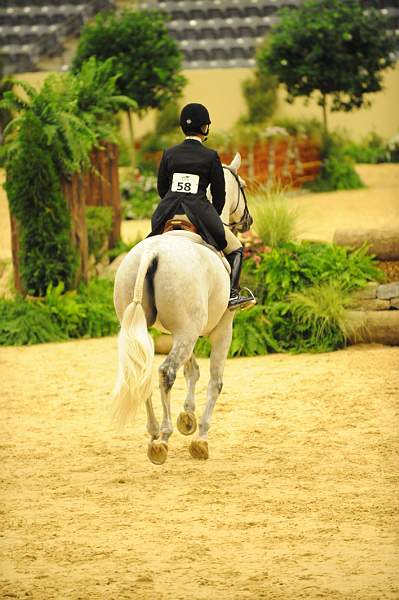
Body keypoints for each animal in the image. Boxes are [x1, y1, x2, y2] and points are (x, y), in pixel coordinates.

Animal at [111, 152, 252, 466]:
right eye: (244, 186)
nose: (248, 221)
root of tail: (152, 253)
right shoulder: (221, 329)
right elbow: (214, 381)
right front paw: (200, 438)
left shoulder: (184, 331)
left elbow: (193, 371)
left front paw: (187, 418)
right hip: (188, 332)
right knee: (166, 373)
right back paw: (162, 439)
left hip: (157, 330)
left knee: (143, 372)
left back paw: (154, 432)